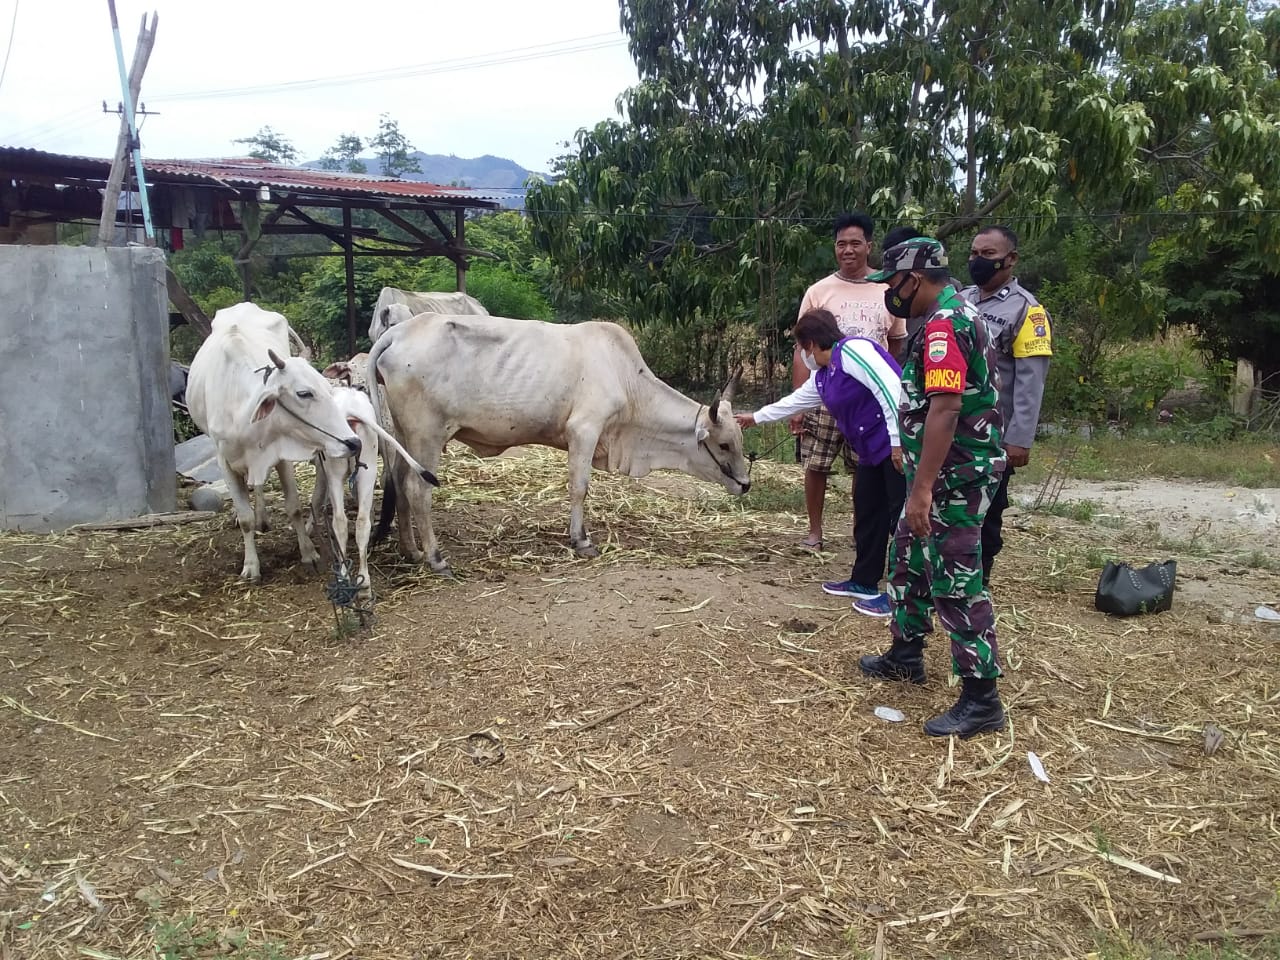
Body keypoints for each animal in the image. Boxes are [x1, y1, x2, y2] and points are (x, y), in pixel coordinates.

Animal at [185, 302, 368, 583]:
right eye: (304, 393)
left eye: (328, 389)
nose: (353, 442)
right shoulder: (224, 460)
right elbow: (245, 517)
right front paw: (251, 566)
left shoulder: (281, 456)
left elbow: (293, 507)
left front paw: (309, 553)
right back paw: (260, 517)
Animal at [367, 313, 752, 575]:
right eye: (723, 445)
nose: (745, 484)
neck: (629, 382)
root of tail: (398, 332)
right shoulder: (584, 430)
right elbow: (579, 488)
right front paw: (581, 540)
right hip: (427, 435)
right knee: (417, 490)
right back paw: (435, 558)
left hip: (404, 435)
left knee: (398, 482)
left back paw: (411, 552)